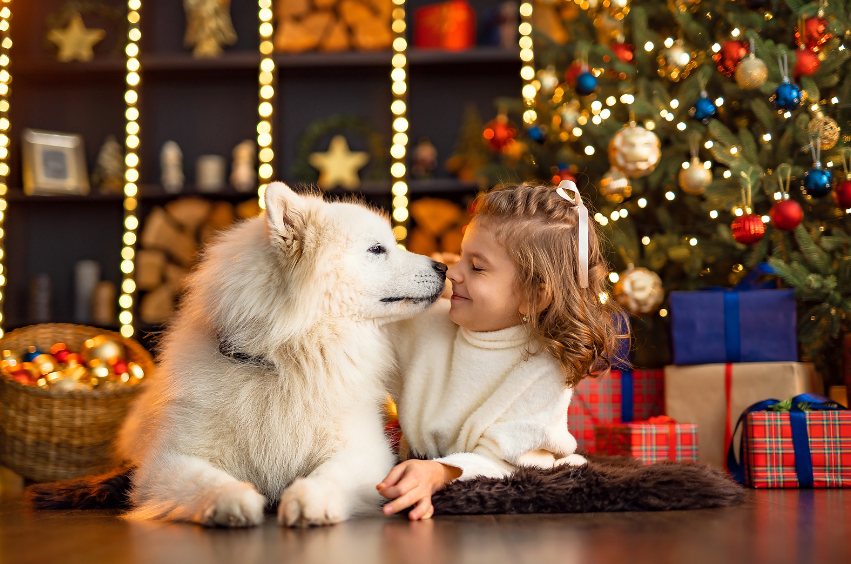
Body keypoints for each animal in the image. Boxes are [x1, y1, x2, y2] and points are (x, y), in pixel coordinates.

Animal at [117, 183, 450, 528]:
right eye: (376, 249)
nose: (444, 267)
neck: (282, 361)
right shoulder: (165, 463)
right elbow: (205, 480)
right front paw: (233, 501)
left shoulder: (365, 449)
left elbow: (330, 474)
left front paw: (309, 500)